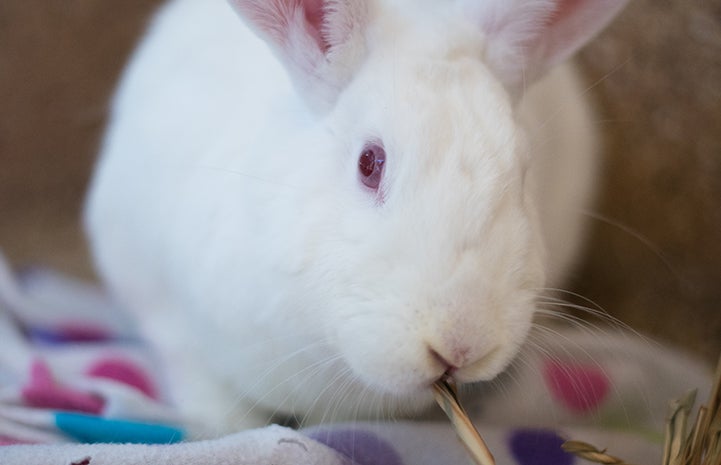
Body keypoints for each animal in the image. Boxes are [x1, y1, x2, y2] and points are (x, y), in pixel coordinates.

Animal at [84, 0, 628, 434]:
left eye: (523, 169)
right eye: (370, 162)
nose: (460, 345)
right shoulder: (165, 312)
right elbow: (210, 395)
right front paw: (225, 430)